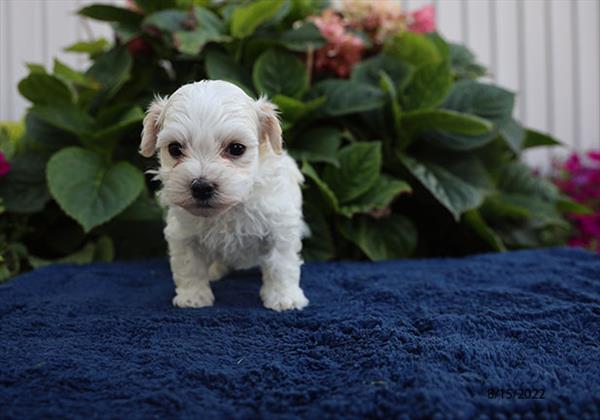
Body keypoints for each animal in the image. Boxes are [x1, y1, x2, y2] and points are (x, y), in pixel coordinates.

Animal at [141, 80, 310, 310]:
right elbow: (189, 267)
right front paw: (193, 297)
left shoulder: (279, 228)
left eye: (236, 148)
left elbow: (281, 265)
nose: (201, 186)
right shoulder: (184, 235)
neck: (229, 209)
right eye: (174, 148)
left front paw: (284, 298)